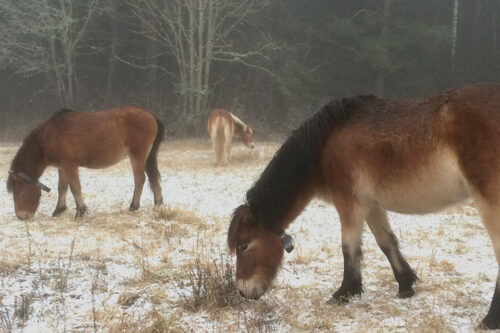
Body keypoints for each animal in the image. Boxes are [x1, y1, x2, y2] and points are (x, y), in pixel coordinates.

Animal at [6, 105, 163, 219]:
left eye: (18, 194)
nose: (21, 216)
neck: (50, 135)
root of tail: (151, 116)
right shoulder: (62, 167)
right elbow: (62, 188)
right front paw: (59, 210)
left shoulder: (70, 166)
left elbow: (75, 188)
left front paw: (80, 212)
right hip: (146, 157)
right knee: (153, 177)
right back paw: (157, 204)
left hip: (137, 156)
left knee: (140, 179)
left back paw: (134, 206)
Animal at [229, 84, 500, 328]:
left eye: (244, 246)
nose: (243, 291)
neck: (325, 142)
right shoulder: (372, 205)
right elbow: (387, 242)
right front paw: (405, 285)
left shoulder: (349, 203)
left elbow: (349, 248)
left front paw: (345, 292)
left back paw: (489, 320)